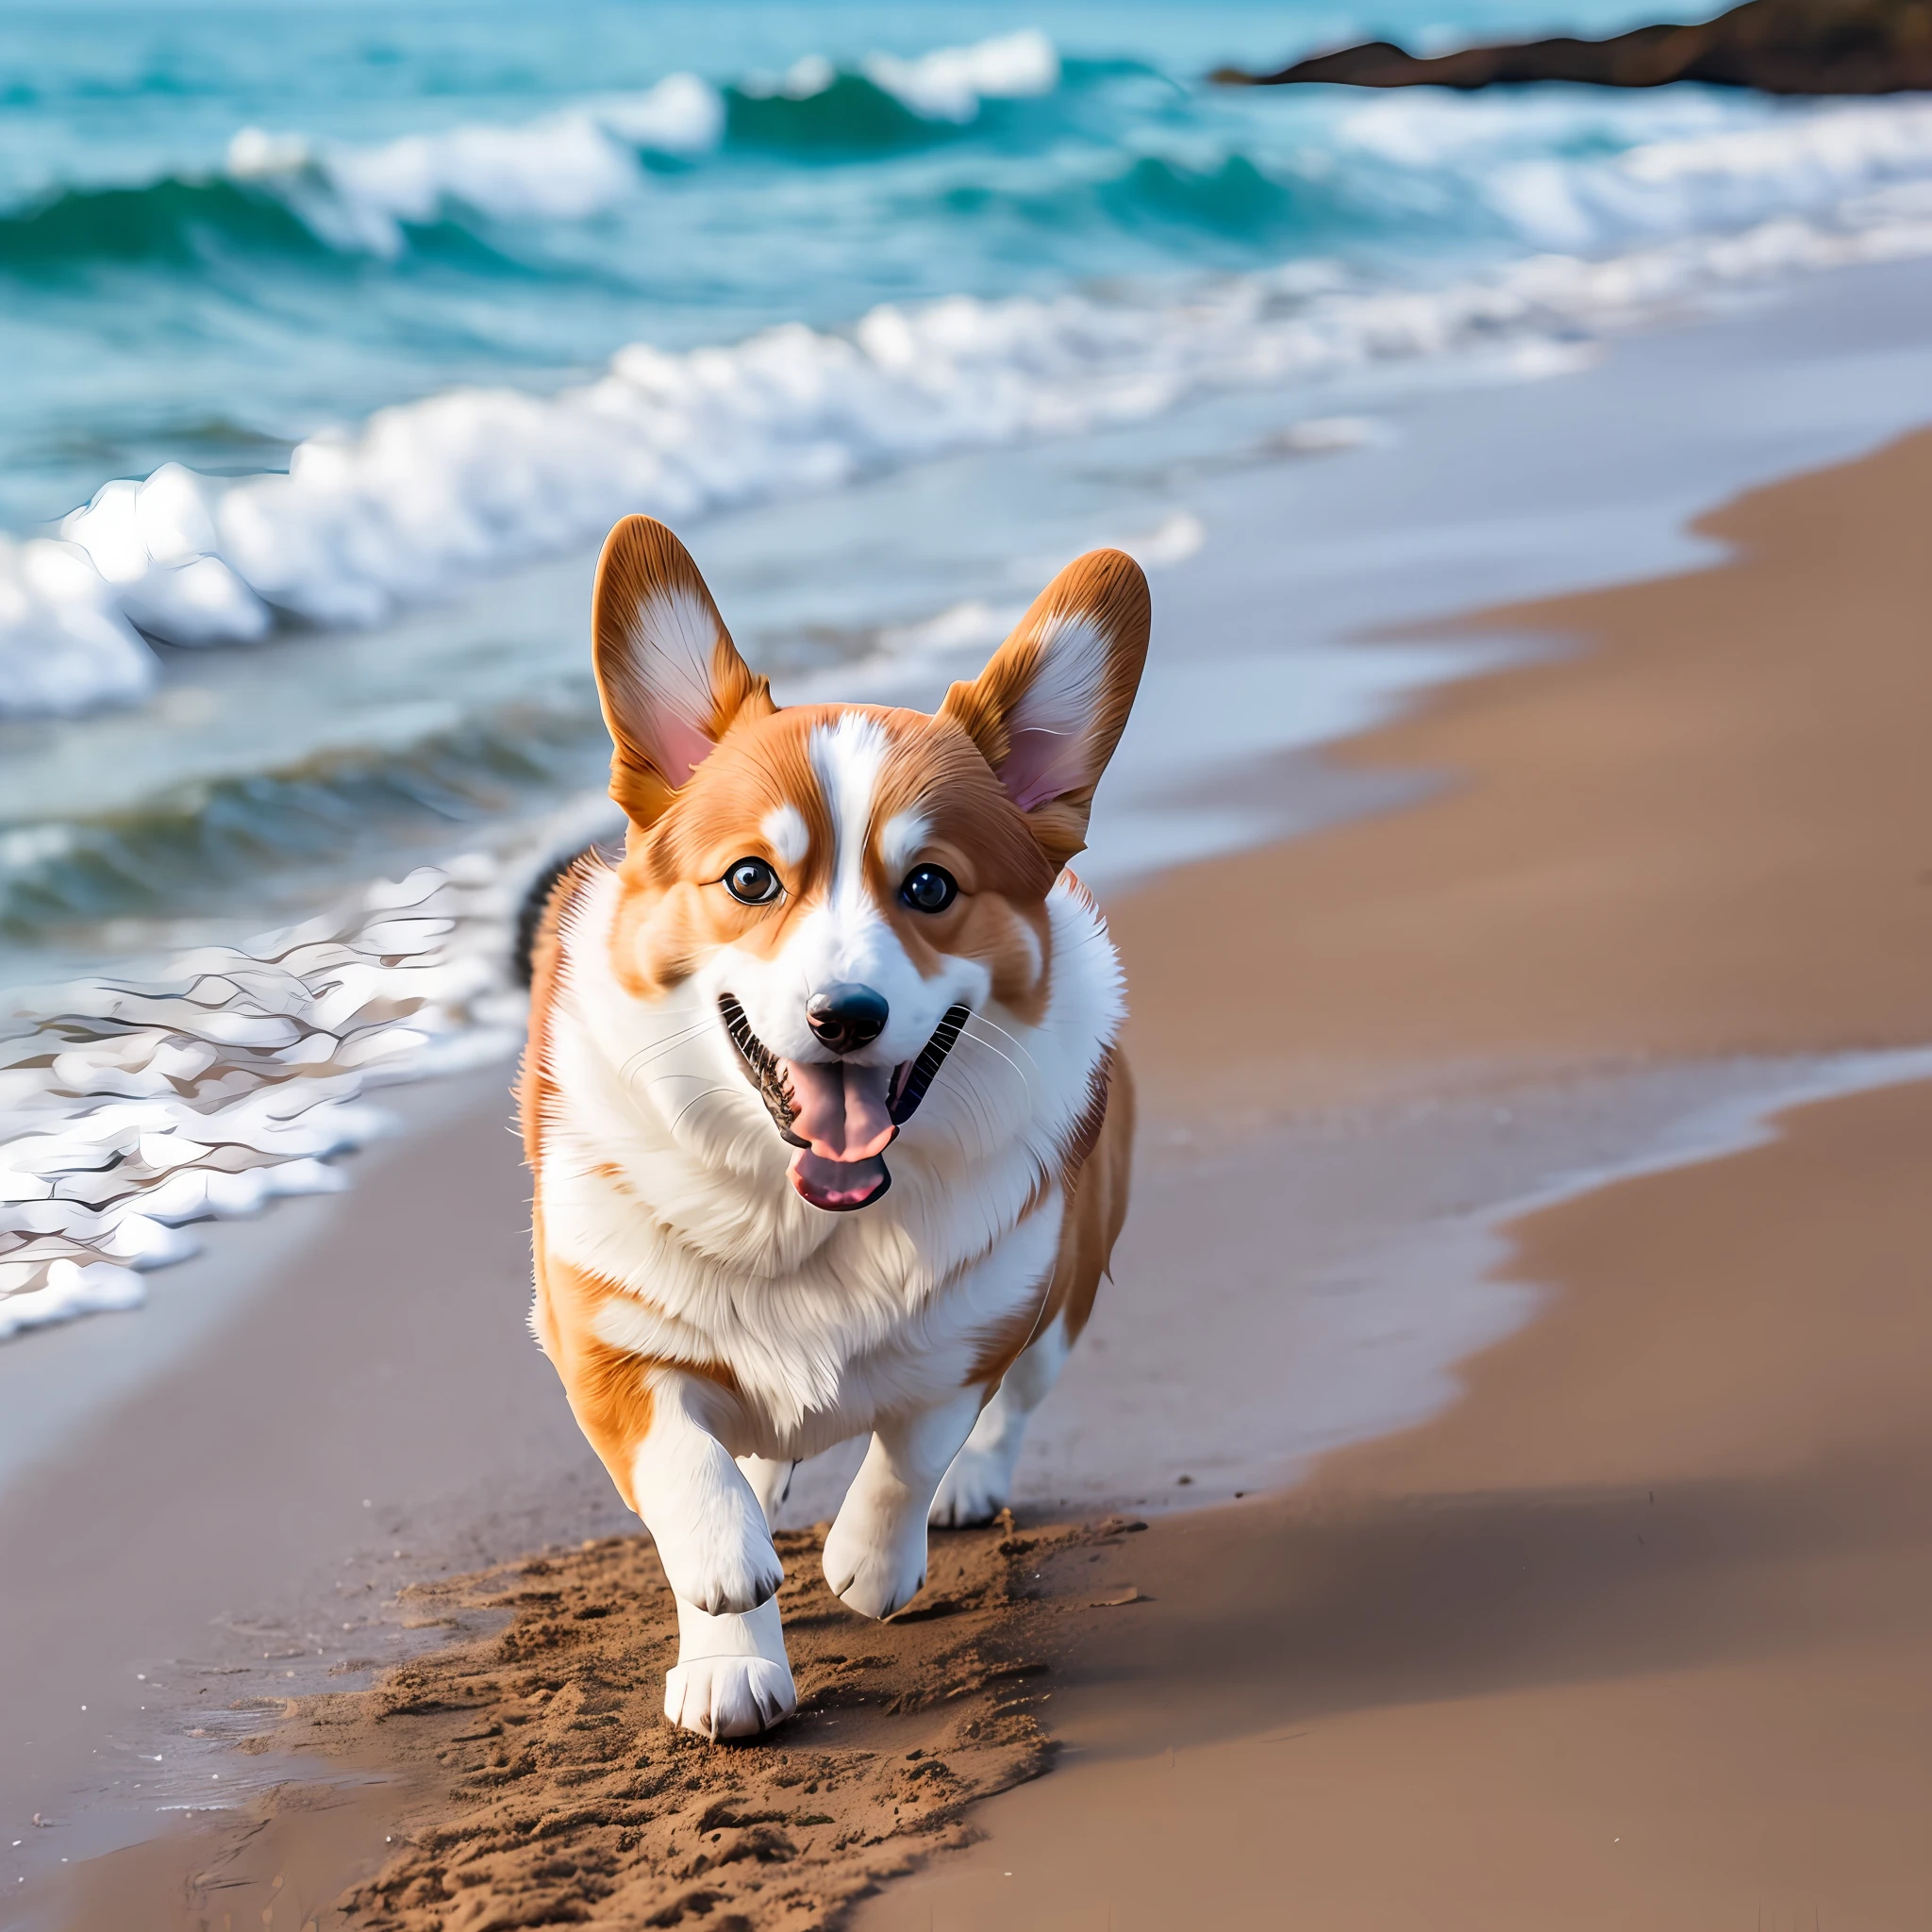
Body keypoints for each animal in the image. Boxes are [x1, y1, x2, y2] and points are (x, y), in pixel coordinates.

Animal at [517, 513, 1143, 1739]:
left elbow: (914, 1441)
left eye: (931, 885)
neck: (802, 1208)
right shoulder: (600, 1336)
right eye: (750, 879)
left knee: (1006, 1408)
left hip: (1066, 1287)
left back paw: (967, 1490)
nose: (842, 1016)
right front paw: (727, 1629)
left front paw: (868, 1562)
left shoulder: (983, 1319)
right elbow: (683, 1466)